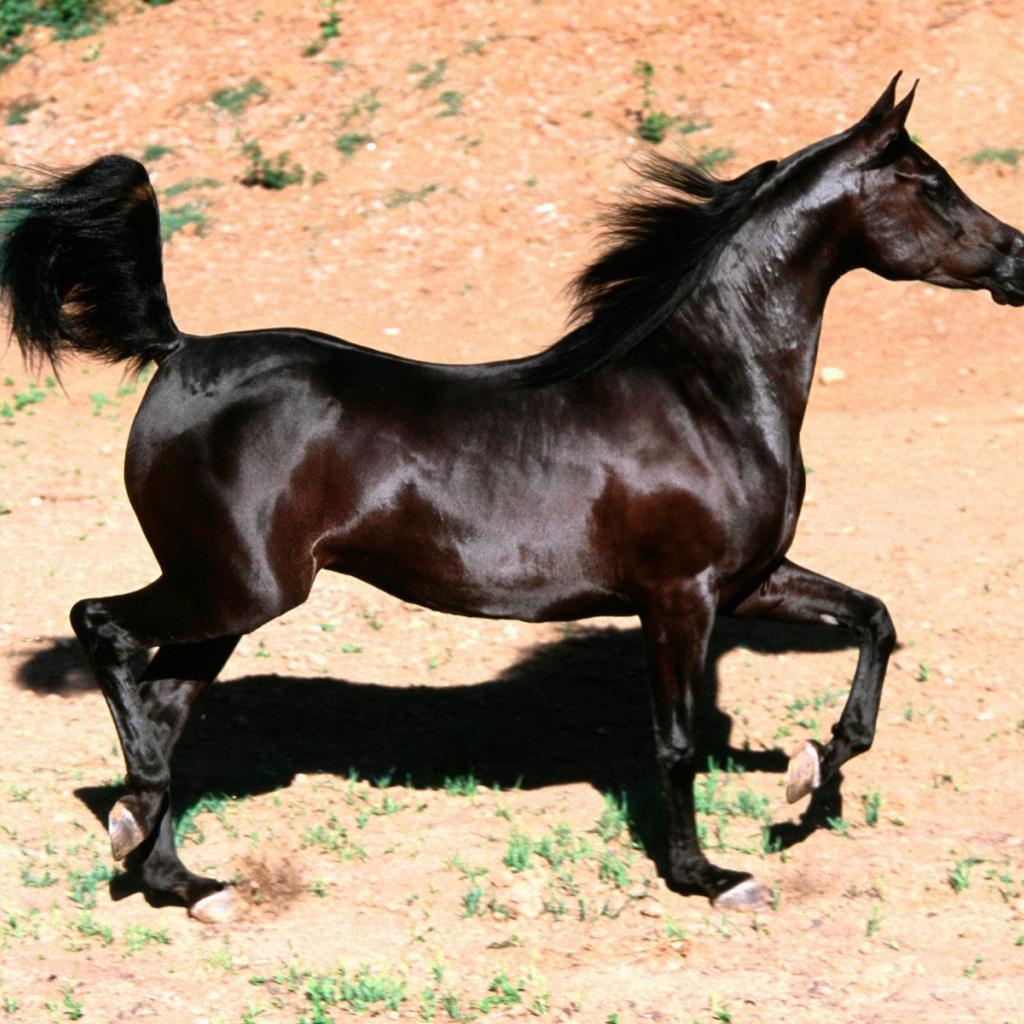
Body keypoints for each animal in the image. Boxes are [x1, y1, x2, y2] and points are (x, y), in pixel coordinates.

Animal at [3, 74, 1023, 924]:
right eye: (930, 183)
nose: (1017, 257)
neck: (707, 388)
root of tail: (178, 351)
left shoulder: (749, 579)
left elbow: (874, 621)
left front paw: (807, 777)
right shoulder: (679, 596)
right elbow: (678, 742)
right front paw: (711, 876)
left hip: (229, 601)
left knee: (164, 702)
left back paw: (177, 876)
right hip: (235, 586)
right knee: (104, 630)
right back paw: (137, 820)